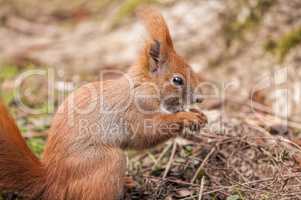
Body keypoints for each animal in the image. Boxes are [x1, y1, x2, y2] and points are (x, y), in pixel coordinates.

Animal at [0, 6, 206, 200]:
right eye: (177, 80)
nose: (199, 99)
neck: (143, 86)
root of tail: (52, 181)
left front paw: (200, 115)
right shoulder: (133, 111)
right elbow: (147, 132)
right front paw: (187, 116)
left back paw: (127, 182)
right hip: (107, 161)